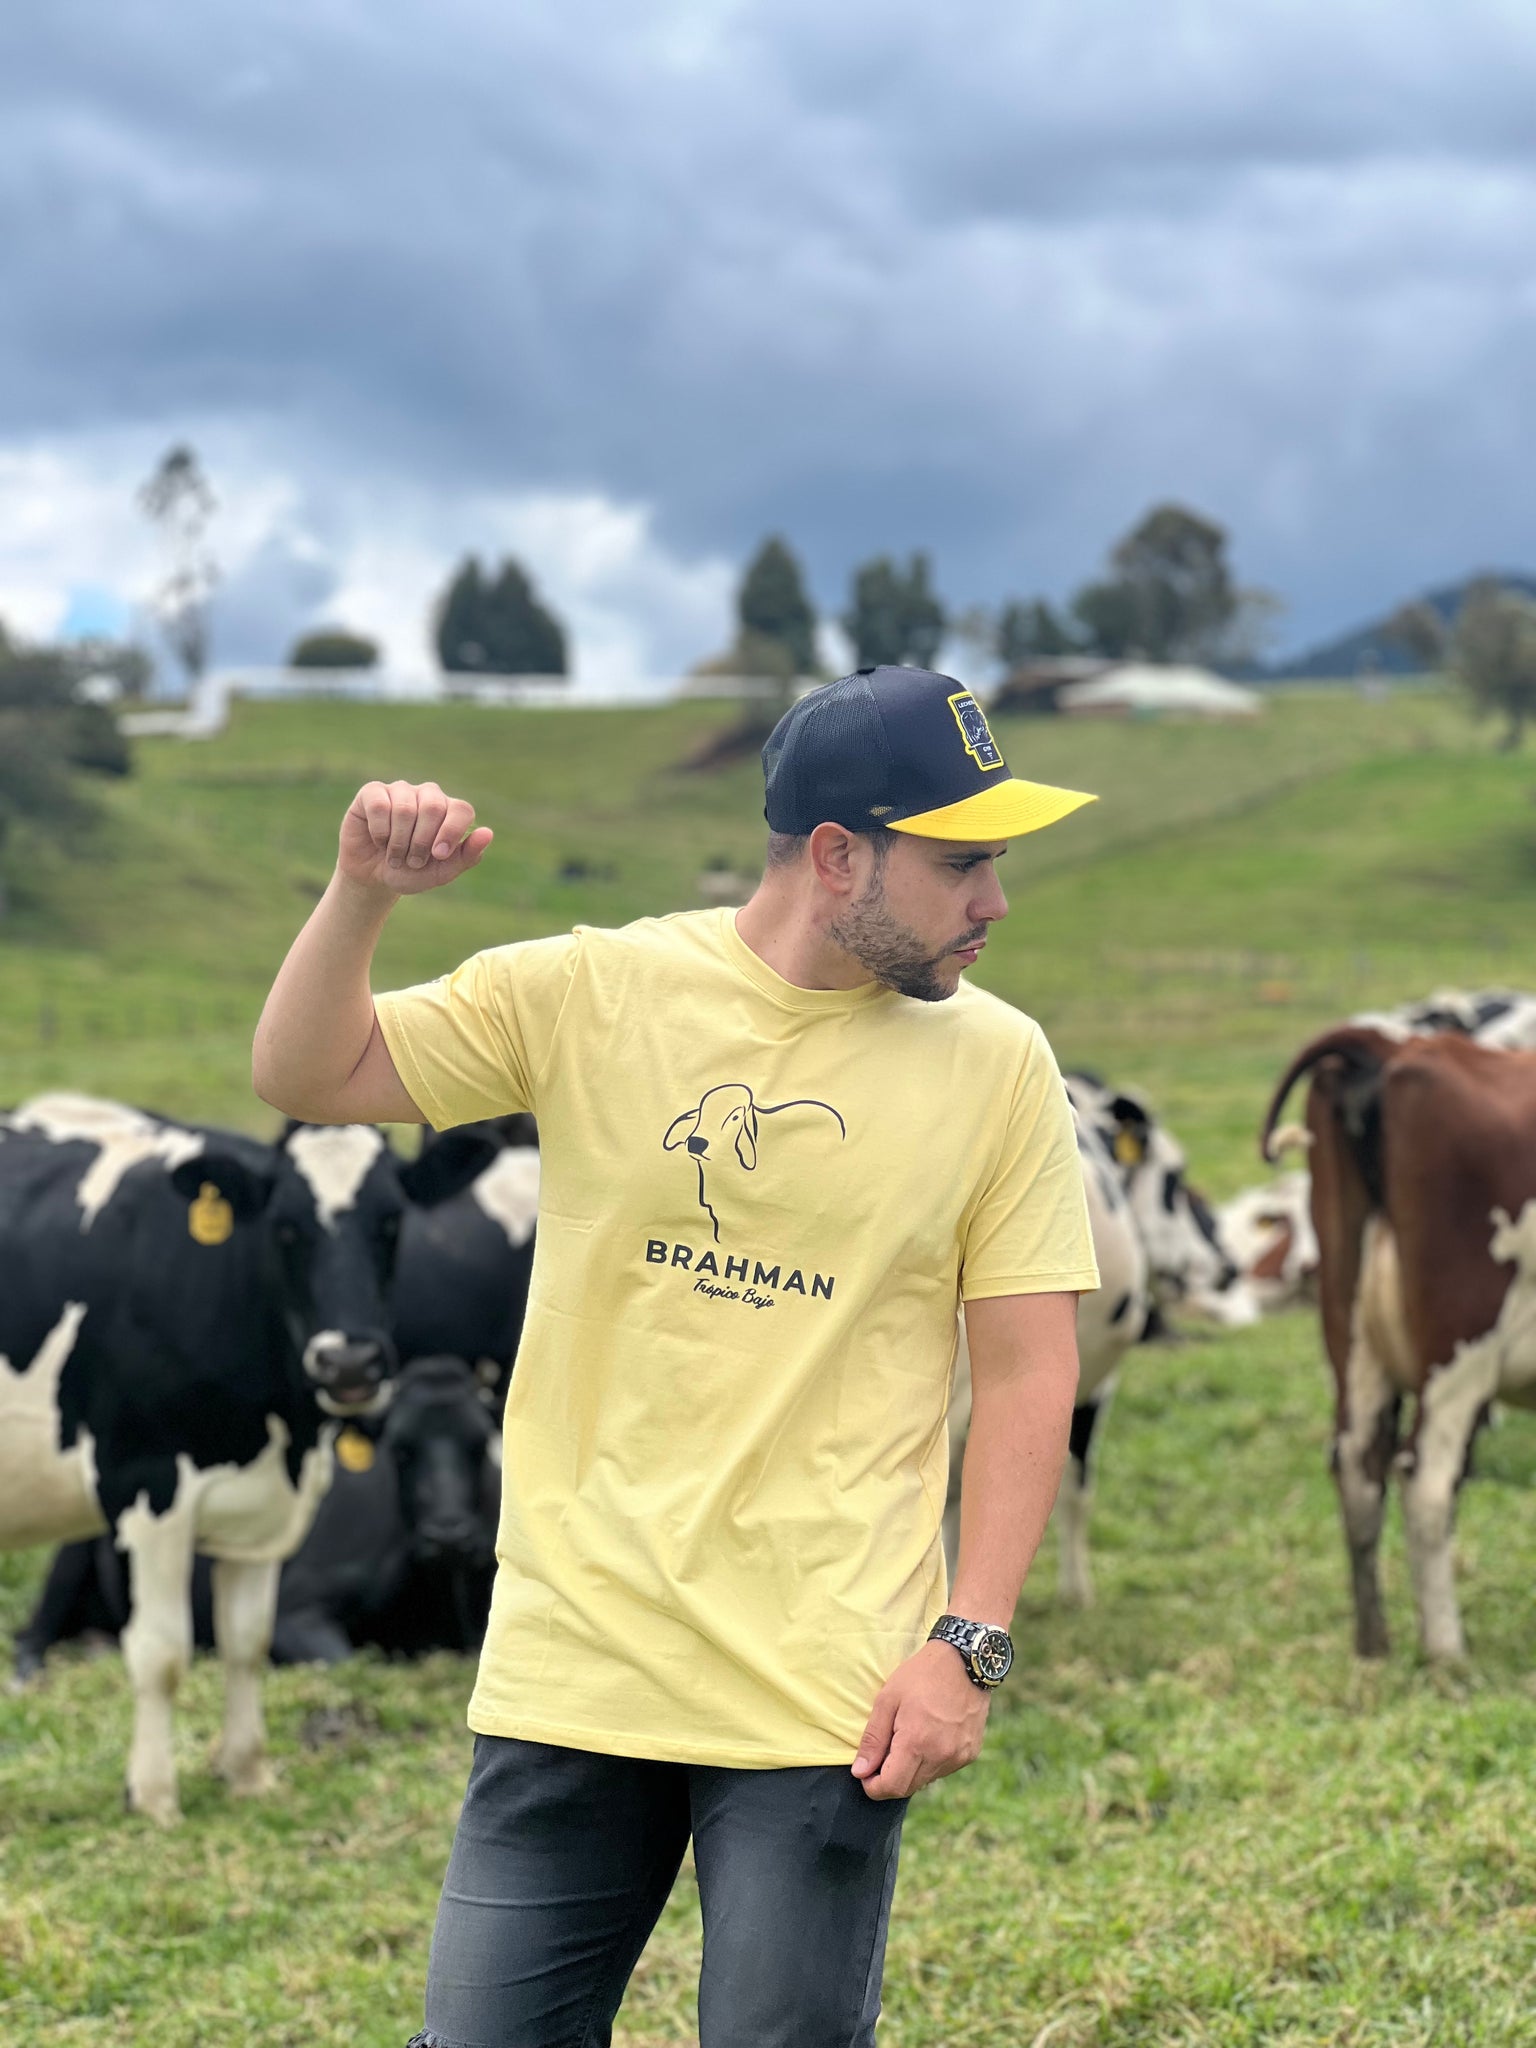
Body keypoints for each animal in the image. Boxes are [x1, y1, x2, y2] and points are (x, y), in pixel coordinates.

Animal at [0, 1097, 493, 1818]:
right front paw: (153, 1798)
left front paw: (247, 1772)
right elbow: (161, 1651)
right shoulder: (145, 1486)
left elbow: (247, 1639)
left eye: (392, 1222)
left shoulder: (265, 1511)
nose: (349, 1362)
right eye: (285, 1229)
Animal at [1261, 1024, 1536, 1662]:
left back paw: (1373, 1645)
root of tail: (1395, 1046)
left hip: (1353, 1334)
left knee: (1358, 1465)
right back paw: (1446, 1653)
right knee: (1426, 1480)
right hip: (1461, 1344)